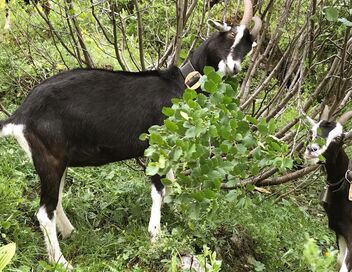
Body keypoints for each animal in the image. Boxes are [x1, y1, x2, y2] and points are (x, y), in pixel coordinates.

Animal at [0, 0, 262, 268]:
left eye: (248, 46)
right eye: (229, 34)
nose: (233, 67)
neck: (182, 84)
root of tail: (20, 116)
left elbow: (171, 184)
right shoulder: (156, 144)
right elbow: (159, 190)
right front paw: (155, 235)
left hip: (58, 159)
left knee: (56, 201)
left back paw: (69, 233)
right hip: (49, 156)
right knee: (45, 211)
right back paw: (62, 261)